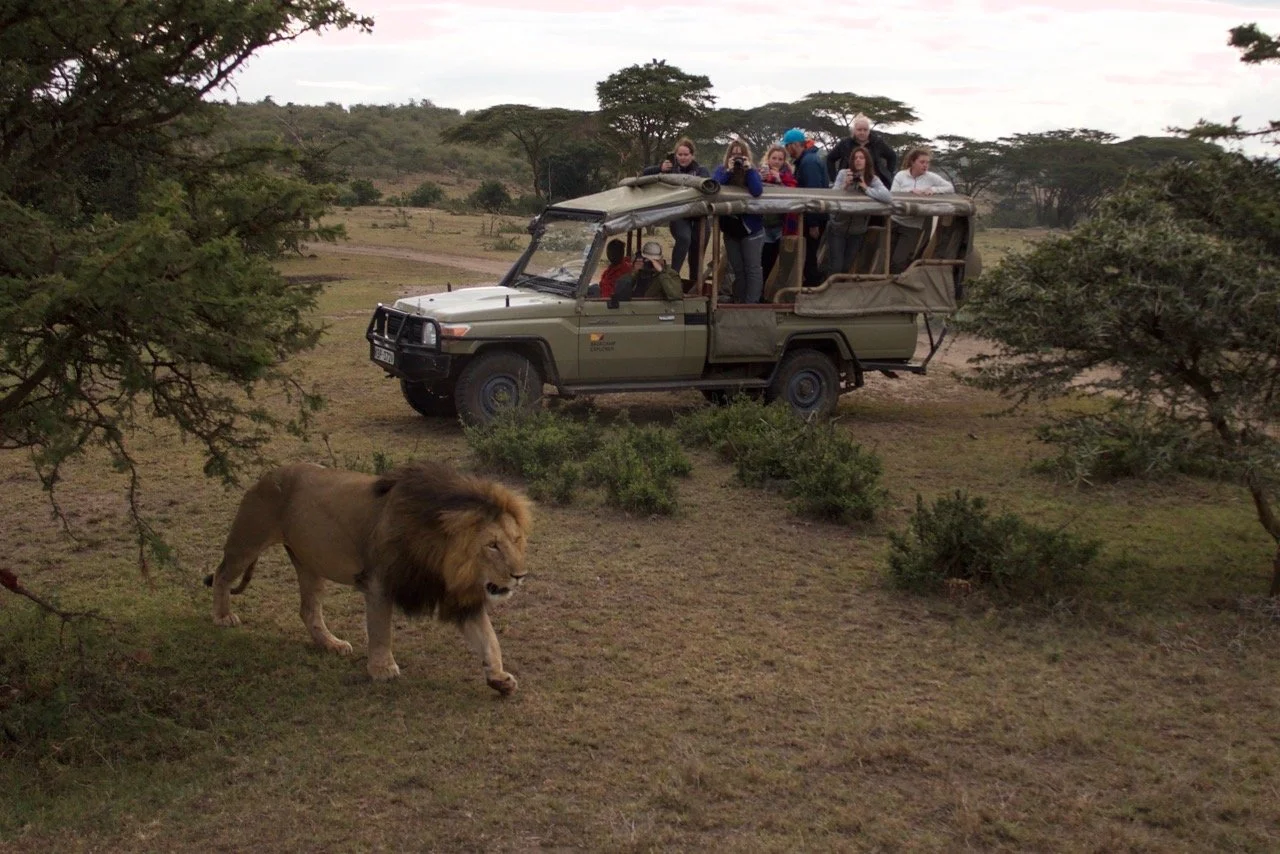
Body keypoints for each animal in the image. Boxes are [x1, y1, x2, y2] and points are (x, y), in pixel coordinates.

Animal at [205, 461, 532, 694]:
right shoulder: (378, 583)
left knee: (308, 610)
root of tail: (269, 473)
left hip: (310, 563)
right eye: (492, 545)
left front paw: (499, 677)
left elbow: (489, 639)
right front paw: (382, 669)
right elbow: (380, 630)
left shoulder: (459, 598)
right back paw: (222, 617)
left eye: (516, 540)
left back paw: (331, 644)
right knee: (221, 574)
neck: (438, 555)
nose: (520, 576)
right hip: (248, 540)